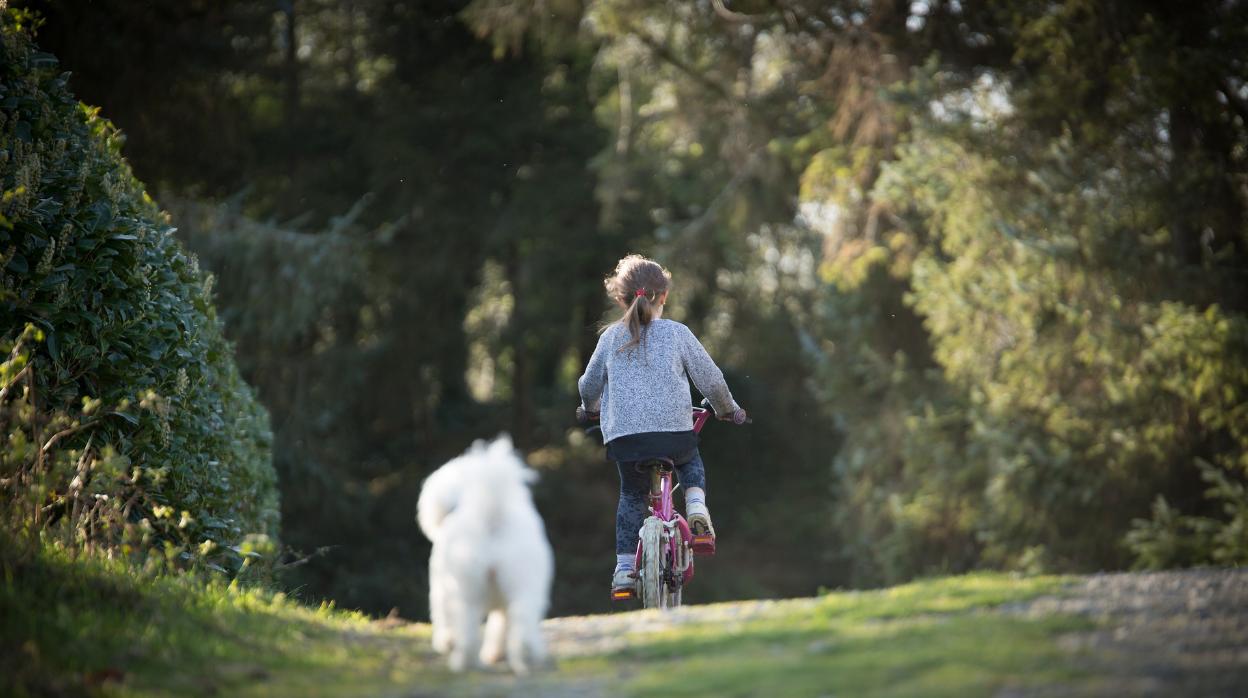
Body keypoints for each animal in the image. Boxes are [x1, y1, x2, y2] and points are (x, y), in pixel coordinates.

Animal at [416, 434, 554, 674]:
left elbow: (443, 617)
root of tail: (492, 516)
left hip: (467, 591)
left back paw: (462, 662)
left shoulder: (441, 589)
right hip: (522, 585)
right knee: (521, 623)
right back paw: (526, 659)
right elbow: (499, 627)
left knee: (469, 632)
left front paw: (446, 642)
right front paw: (495, 653)